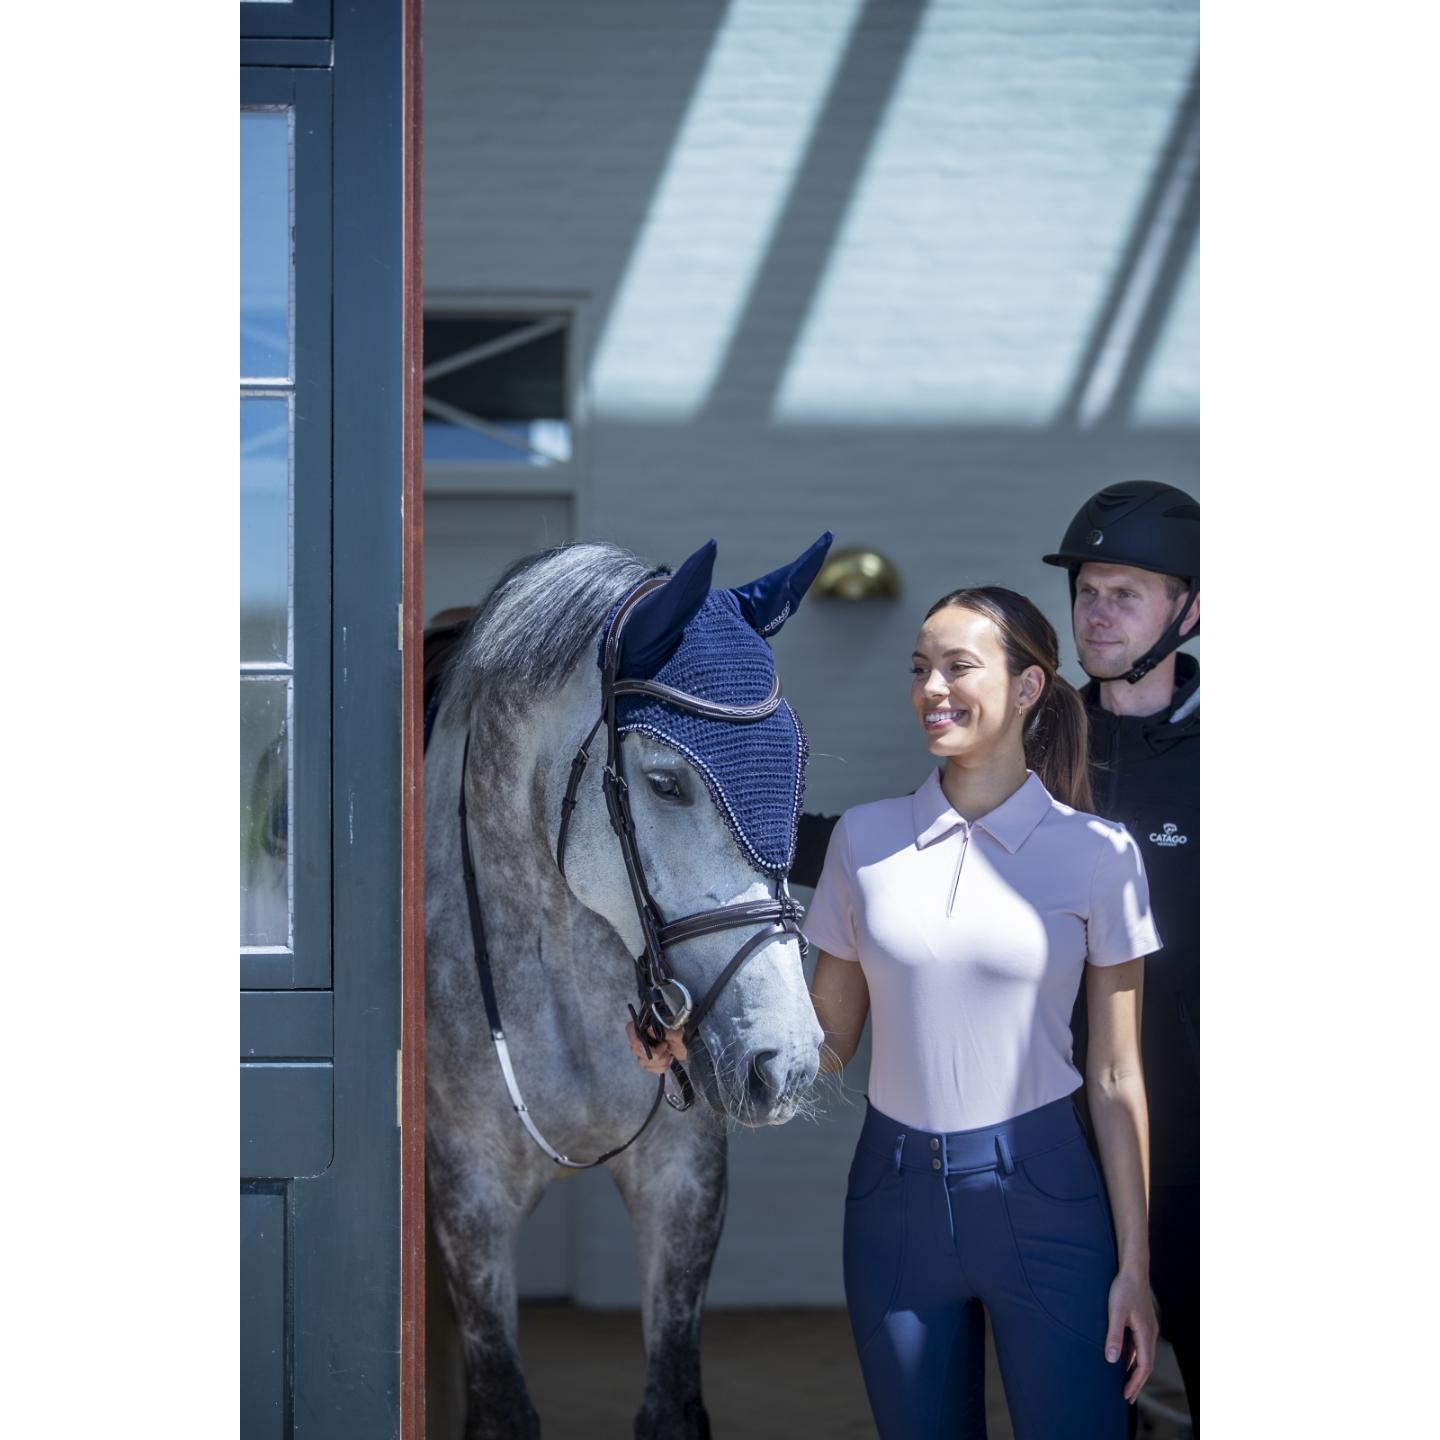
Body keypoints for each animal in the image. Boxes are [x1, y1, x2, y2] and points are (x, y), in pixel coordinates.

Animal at [425, 535, 832, 1440]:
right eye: (665, 782)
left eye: (794, 767)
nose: (783, 1061)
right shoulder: (470, 1198)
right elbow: (502, 1406)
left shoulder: (682, 1182)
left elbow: (671, 1402)